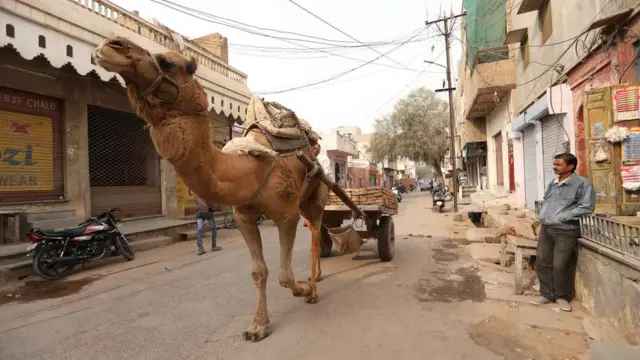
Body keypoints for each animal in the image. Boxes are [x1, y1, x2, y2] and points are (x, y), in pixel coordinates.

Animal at [92, 37, 328, 344]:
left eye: (169, 62)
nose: (111, 45)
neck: (247, 168)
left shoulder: (286, 215)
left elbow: (285, 275)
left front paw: (303, 288)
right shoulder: (244, 216)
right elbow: (258, 271)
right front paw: (258, 326)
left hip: (315, 197)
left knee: (315, 236)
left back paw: (314, 288)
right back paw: (317, 279)